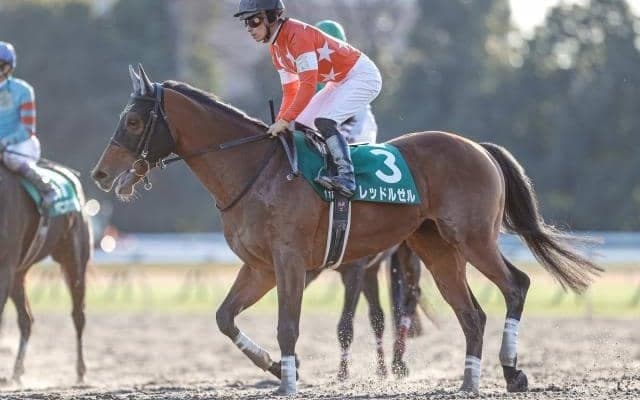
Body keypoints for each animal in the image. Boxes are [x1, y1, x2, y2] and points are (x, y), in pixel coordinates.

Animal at [0, 164, 92, 384]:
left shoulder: (5, 265)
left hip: (74, 260)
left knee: (78, 314)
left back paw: (81, 373)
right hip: (19, 274)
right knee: (26, 320)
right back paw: (16, 372)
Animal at [91, 65, 601, 395]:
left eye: (132, 120)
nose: (99, 174)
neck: (255, 169)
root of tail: (477, 147)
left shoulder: (290, 262)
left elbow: (289, 325)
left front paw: (289, 381)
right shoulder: (260, 267)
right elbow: (225, 317)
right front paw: (274, 368)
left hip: (472, 238)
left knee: (516, 284)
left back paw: (512, 372)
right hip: (437, 248)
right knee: (471, 313)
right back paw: (470, 380)